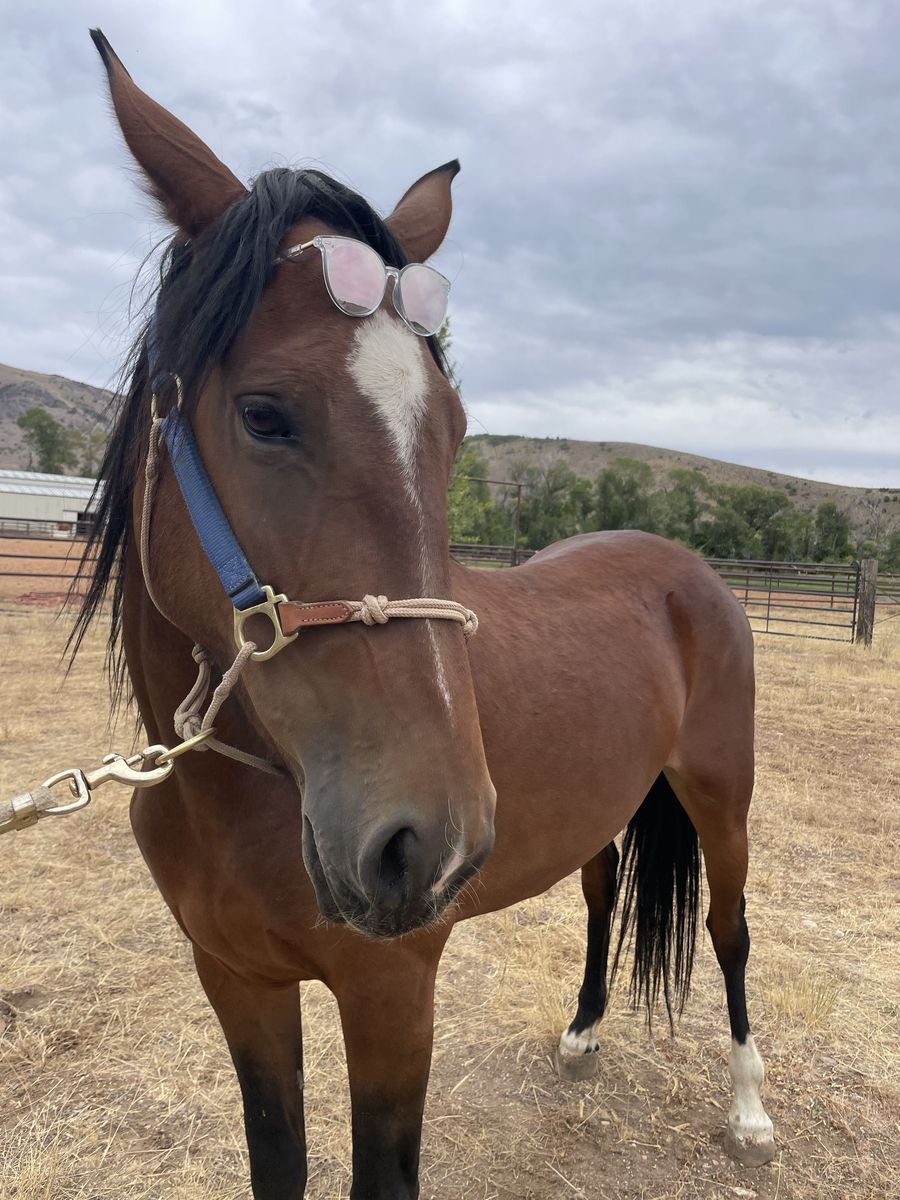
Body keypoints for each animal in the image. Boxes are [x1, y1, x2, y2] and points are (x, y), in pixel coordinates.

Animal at [75, 29, 777, 1199]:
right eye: (263, 413)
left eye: (451, 428)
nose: (426, 847)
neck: (240, 794)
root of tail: (688, 569)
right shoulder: (237, 985)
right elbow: (277, 1161)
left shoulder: (392, 999)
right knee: (602, 891)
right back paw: (583, 1033)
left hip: (721, 799)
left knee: (729, 931)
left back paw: (751, 1109)